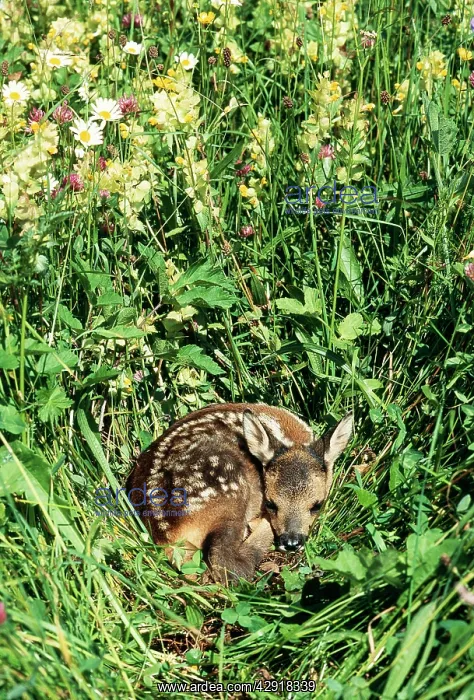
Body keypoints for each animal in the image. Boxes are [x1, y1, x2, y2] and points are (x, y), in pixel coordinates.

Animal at [126, 403, 353, 585]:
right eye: (271, 503)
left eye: (317, 505)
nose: (291, 542)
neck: (293, 438)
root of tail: (167, 534)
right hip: (229, 487)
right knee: (228, 564)